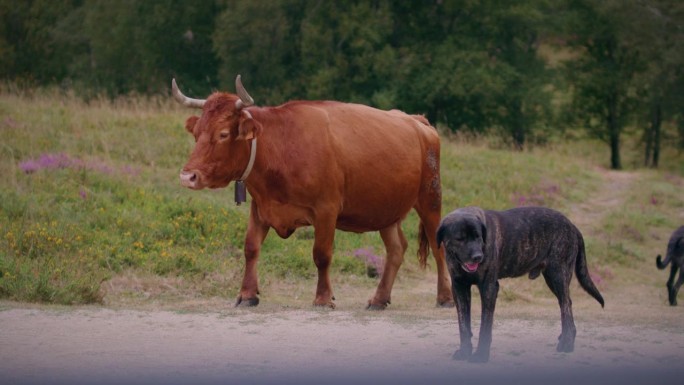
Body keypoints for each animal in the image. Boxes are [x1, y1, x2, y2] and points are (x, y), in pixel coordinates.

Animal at [171, 76, 454, 308]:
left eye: (223, 134)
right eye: (196, 133)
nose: (188, 176)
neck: (282, 146)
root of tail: (416, 120)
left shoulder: (326, 210)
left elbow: (322, 254)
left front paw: (323, 298)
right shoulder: (261, 206)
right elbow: (251, 247)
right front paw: (247, 295)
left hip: (430, 198)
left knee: (437, 247)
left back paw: (445, 297)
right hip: (386, 209)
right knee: (396, 249)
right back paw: (379, 299)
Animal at [438, 206, 604, 362]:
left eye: (478, 237)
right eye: (460, 239)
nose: (478, 256)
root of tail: (572, 225)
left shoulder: (489, 288)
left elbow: (485, 326)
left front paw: (481, 356)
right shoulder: (459, 288)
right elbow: (464, 326)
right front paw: (465, 352)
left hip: (558, 274)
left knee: (566, 306)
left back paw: (567, 344)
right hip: (552, 278)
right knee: (566, 304)